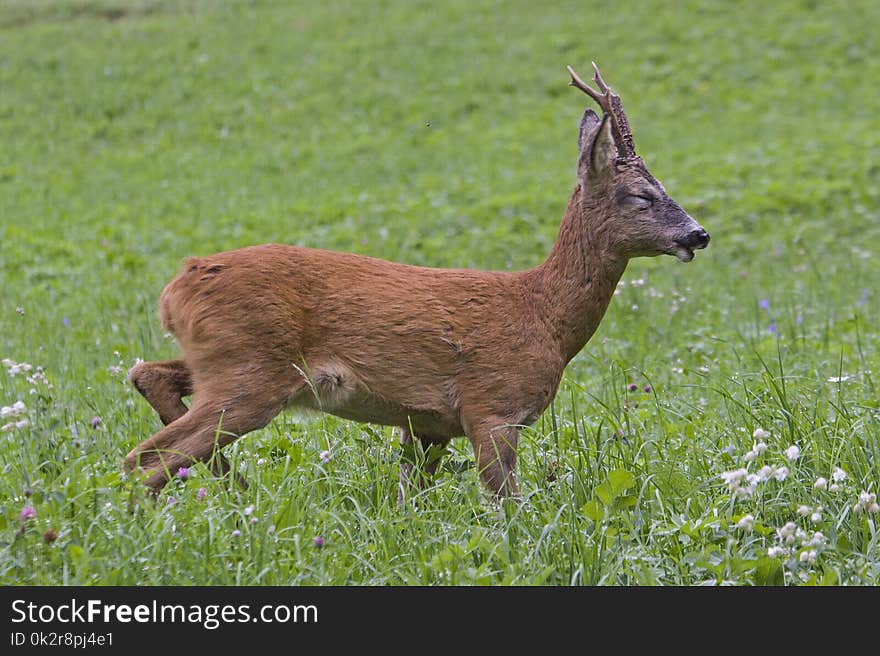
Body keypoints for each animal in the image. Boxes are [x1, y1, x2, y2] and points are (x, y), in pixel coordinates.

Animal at [127, 62, 712, 502]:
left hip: (224, 362)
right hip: (249, 371)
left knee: (148, 382)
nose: (698, 234)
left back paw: (238, 489)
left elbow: (407, 499)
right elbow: (508, 504)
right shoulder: (491, 408)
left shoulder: (429, 426)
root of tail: (175, 288)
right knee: (147, 456)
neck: (544, 316)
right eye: (641, 196)